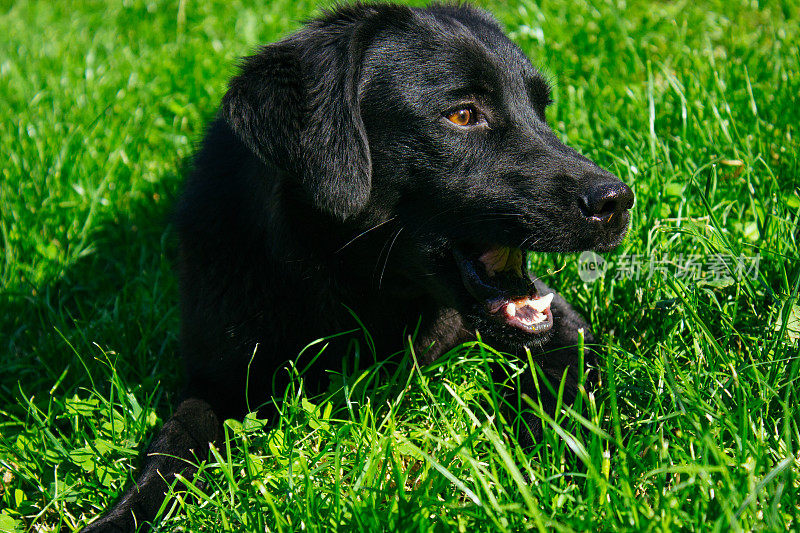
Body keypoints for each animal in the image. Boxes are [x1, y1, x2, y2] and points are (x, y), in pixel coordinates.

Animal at [81, 2, 632, 528]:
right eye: (462, 115)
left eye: (542, 109)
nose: (618, 201)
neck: (353, 287)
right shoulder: (215, 377)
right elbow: (172, 448)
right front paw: (120, 517)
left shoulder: (562, 324)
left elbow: (563, 394)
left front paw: (576, 469)